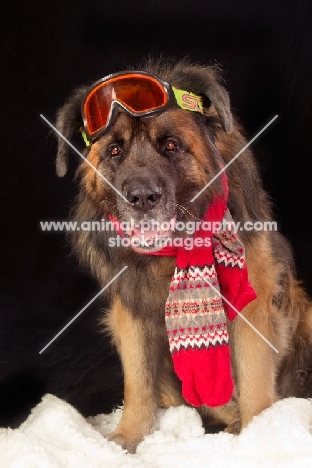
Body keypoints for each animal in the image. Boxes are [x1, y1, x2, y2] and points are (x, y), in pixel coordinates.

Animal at [53, 56, 312, 452]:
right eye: (114, 151)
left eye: (171, 146)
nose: (142, 197)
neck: (173, 253)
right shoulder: (130, 313)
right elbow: (137, 381)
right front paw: (128, 435)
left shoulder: (252, 306)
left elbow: (254, 380)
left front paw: (256, 434)